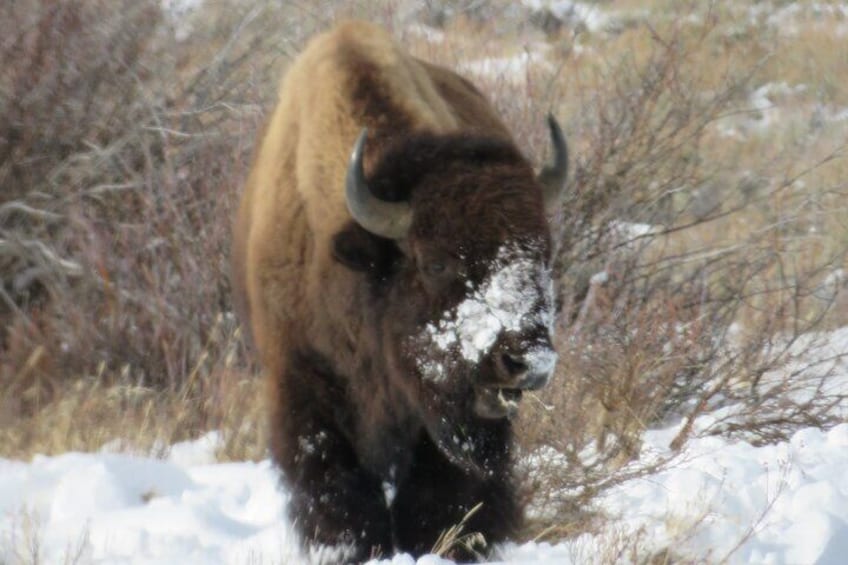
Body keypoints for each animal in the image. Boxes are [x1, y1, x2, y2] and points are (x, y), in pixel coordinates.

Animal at [229, 19, 568, 560]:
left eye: (544, 254)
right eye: (435, 262)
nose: (526, 361)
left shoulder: (433, 422)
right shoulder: (302, 389)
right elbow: (335, 487)